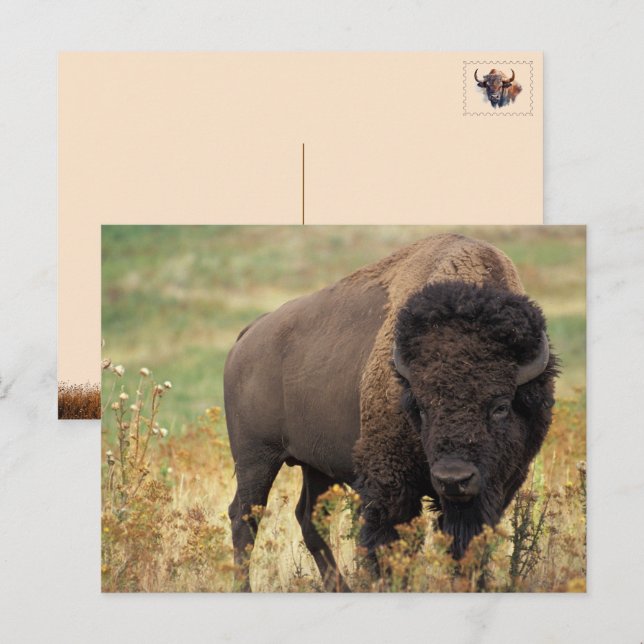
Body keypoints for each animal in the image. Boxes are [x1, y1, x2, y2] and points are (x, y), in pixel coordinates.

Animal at [224, 234, 557, 591]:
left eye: (500, 406)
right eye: (421, 406)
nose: (453, 478)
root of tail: (248, 336)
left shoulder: (496, 486)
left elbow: (467, 542)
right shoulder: (390, 483)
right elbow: (389, 542)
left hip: (315, 465)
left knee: (308, 518)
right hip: (256, 458)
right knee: (245, 517)